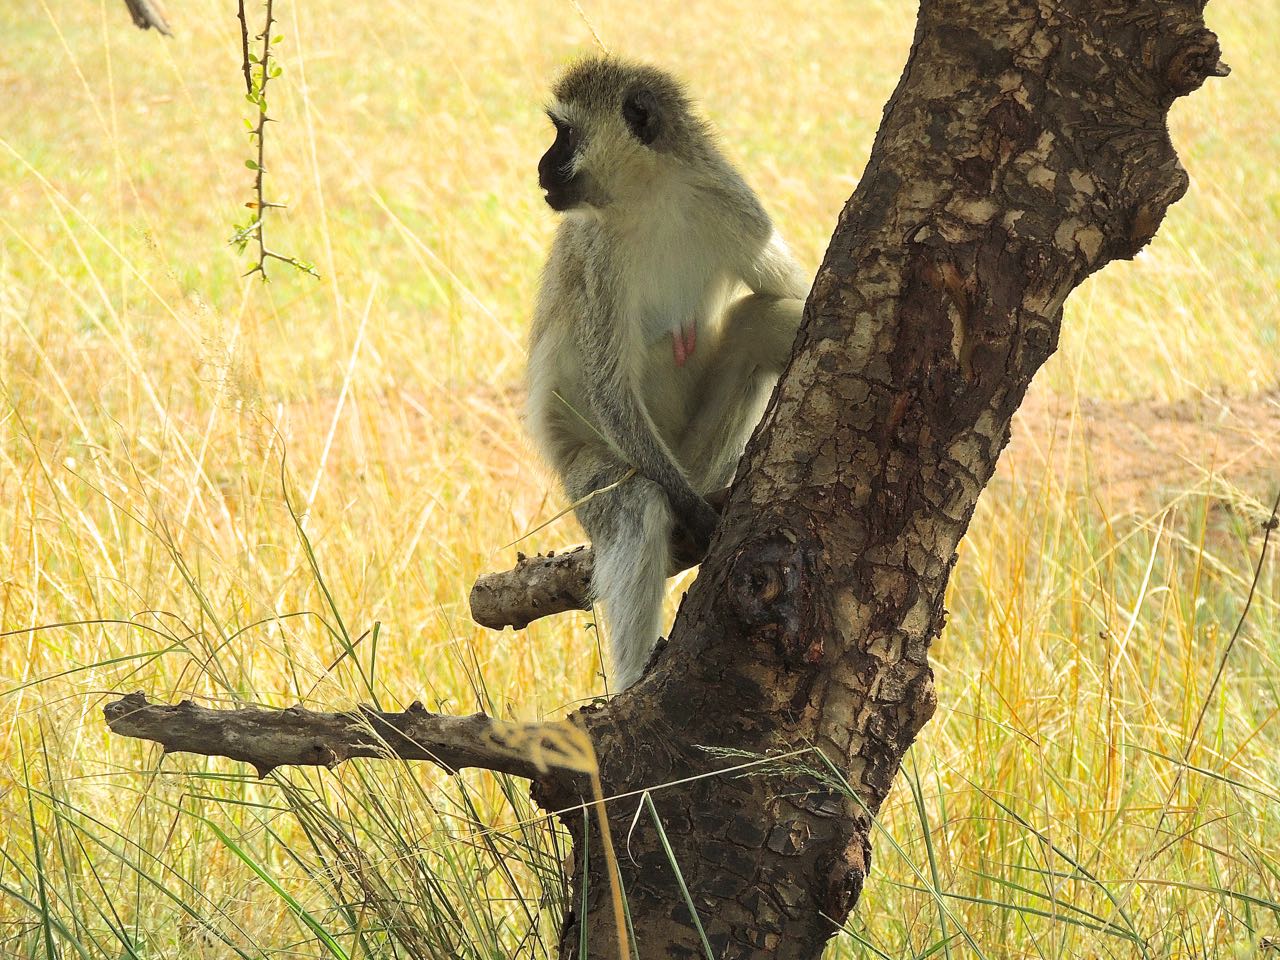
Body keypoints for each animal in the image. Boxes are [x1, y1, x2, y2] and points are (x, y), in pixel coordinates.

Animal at [522, 58, 803, 691]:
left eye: (563, 135)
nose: (540, 165)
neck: (653, 196)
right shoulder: (599, 256)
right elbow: (609, 388)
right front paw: (697, 516)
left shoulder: (735, 207)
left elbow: (795, 294)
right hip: (584, 473)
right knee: (634, 502)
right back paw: (633, 681)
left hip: (699, 454)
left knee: (760, 322)